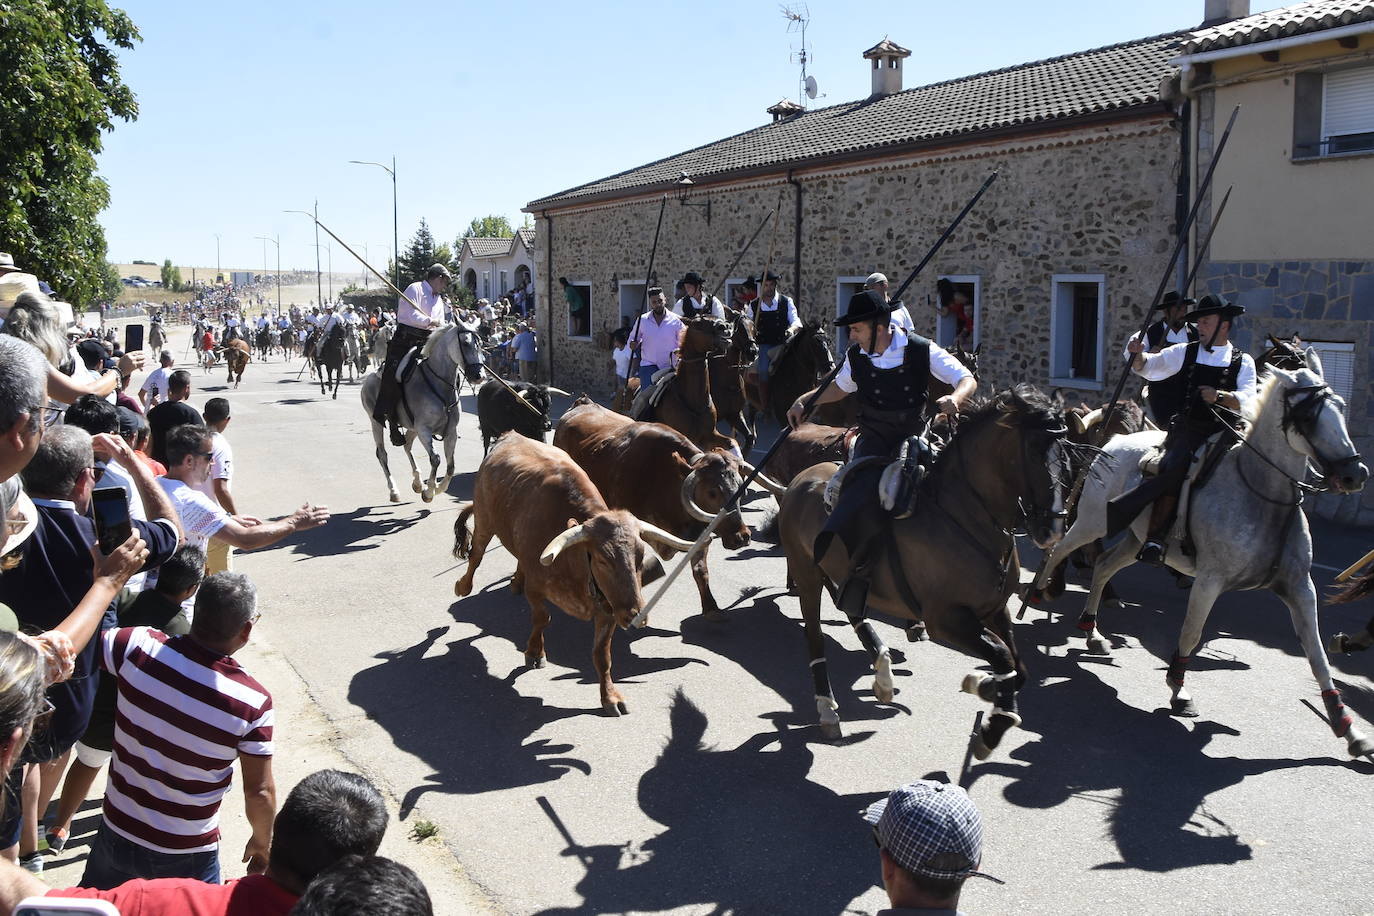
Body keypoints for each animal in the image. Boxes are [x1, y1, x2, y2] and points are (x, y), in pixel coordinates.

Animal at [357, 322, 486, 505]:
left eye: (480, 344)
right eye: (466, 343)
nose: (479, 376)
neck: (439, 384)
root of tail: (369, 378)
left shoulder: (451, 432)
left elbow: (451, 466)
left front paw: (436, 488)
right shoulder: (424, 429)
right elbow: (436, 459)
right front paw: (430, 492)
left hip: (412, 427)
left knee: (407, 445)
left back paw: (417, 483)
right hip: (376, 421)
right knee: (382, 454)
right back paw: (394, 490)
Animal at [453, 433, 697, 714]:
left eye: (639, 556)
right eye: (603, 560)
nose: (636, 615)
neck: (575, 564)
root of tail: (510, 435)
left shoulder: (608, 608)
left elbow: (602, 655)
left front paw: (609, 697)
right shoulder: (537, 588)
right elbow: (542, 618)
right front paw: (535, 653)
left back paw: (514, 581)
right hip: (485, 520)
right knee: (476, 556)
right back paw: (463, 586)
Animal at [549, 398, 785, 620]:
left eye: (740, 488)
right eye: (712, 493)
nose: (742, 536)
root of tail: (582, 404)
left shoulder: (700, 534)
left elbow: (701, 570)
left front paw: (711, 607)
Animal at [774, 384, 1071, 758]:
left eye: (1065, 451)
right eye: (1032, 450)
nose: (1053, 529)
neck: (964, 516)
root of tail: (800, 480)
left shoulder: (994, 609)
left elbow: (1017, 668)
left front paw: (985, 688)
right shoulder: (946, 618)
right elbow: (1003, 656)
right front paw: (991, 725)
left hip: (839, 572)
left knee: (852, 608)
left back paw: (883, 675)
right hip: (806, 574)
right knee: (815, 638)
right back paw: (828, 709)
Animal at [1033, 348, 1368, 758]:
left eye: (1341, 407)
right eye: (1307, 417)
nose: (1355, 475)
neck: (1263, 495)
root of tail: (1111, 444)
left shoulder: (1300, 588)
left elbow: (1318, 656)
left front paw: (1347, 727)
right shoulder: (1209, 581)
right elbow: (1191, 635)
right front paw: (1178, 690)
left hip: (1134, 539)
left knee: (1103, 566)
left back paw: (1092, 630)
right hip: (1093, 521)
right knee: (1060, 548)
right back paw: (1039, 590)